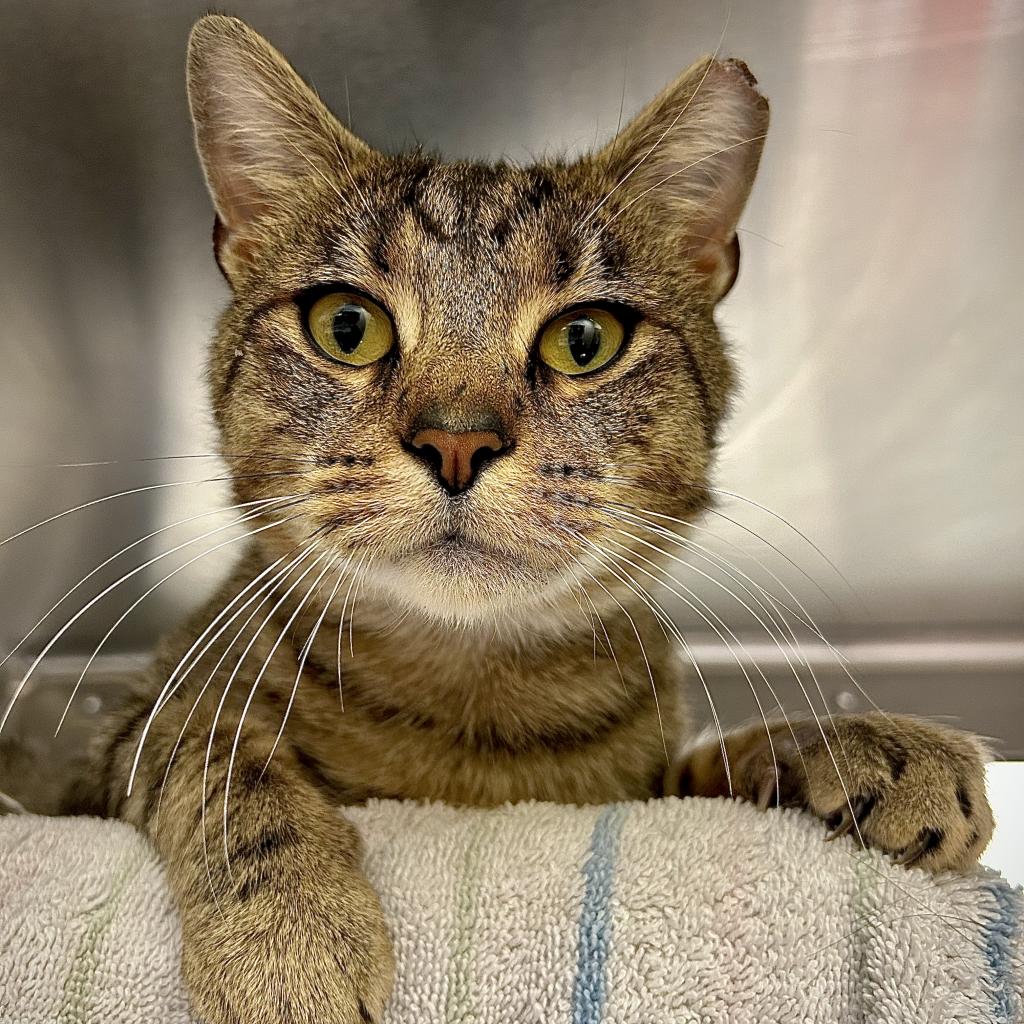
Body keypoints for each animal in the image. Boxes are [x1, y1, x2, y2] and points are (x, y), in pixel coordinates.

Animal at [51, 16, 987, 1024]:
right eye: (347, 326)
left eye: (584, 340)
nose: (457, 442)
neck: (468, 709)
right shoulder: (116, 748)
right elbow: (219, 756)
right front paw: (286, 931)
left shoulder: (645, 785)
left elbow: (717, 765)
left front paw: (864, 745)